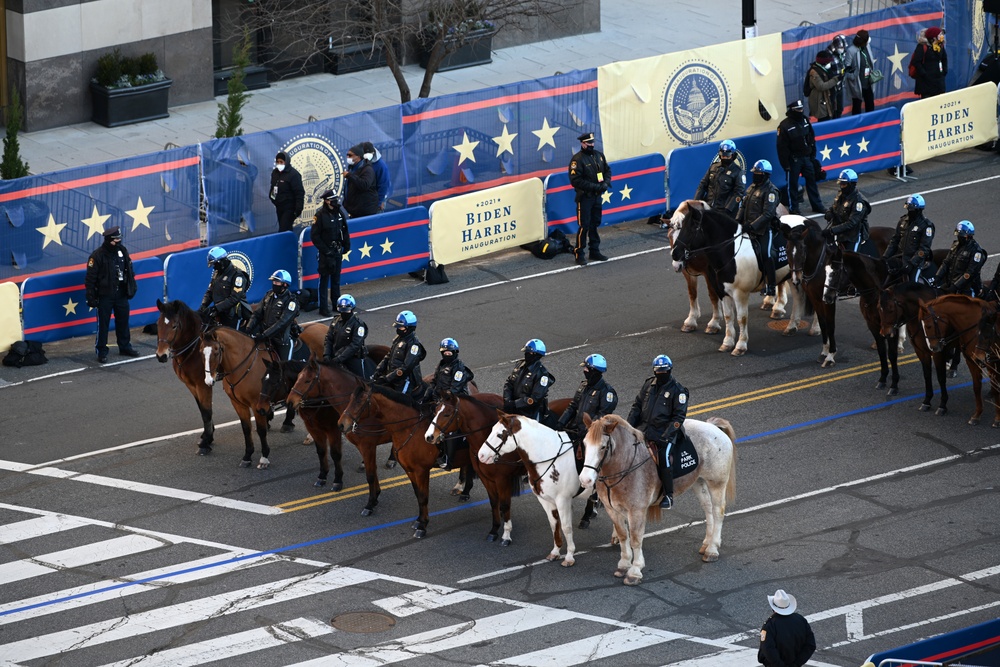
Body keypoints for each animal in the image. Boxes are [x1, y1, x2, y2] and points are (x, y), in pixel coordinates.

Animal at [155, 302, 214, 454]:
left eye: (174, 326)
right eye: (158, 324)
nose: (161, 355)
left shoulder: (203, 385)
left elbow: (207, 412)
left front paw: (206, 442)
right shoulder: (191, 384)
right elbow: (202, 409)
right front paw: (207, 436)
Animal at [482, 414, 588, 568]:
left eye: (500, 434)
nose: (481, 455)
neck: (548, 455)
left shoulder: (563, 500)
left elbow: (566, 527)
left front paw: (569, 557)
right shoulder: (546, 500)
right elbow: (554, 524)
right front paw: (555, 552)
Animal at [580, 414, 736, 588]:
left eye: (602, 447)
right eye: (585, 443)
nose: (585, 480)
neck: (625, 464)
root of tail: (714, 427)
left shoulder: (636, 511)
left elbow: (635, 539)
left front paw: (635, 571)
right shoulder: (612, 509)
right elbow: (623, 536)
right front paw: (624, 564)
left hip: (717, 483)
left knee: (718, 512)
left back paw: (712, 549)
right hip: (698, 482)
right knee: (708, 509)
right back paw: (706, 543)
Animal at [668, 200, 800, 354]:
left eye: (692, 228)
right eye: (670, 236)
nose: (675, 255)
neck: (730, 250)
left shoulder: (732, 288)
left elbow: (737, 315)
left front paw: (734, 341)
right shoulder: (703, 279)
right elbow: (698, 296)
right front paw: (693, 322)